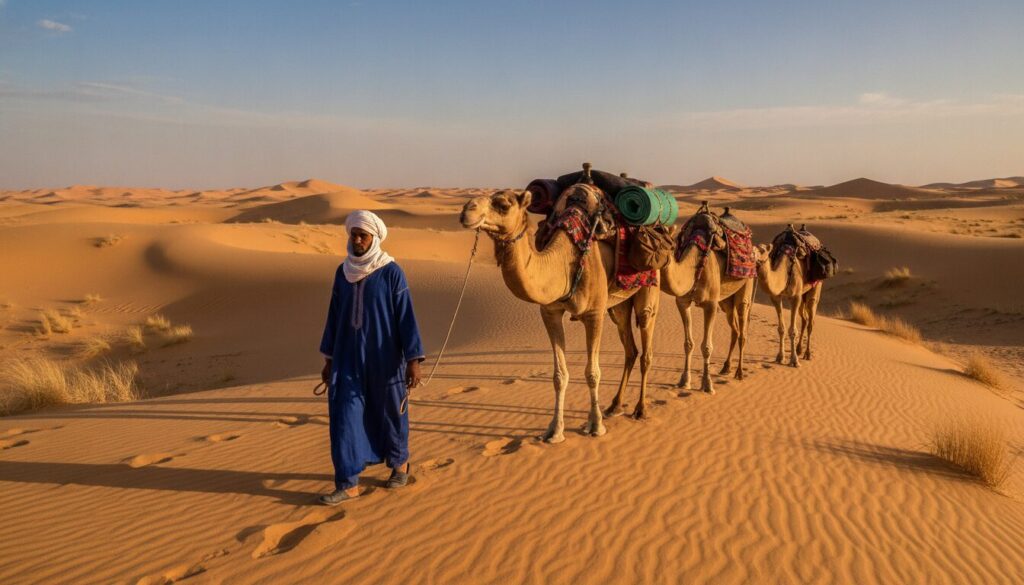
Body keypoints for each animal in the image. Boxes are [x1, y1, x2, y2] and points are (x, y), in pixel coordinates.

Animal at [459, 188, 660, 444]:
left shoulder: (594, 313)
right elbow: (559, 376)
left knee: (646, 348)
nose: (467, 211)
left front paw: (596, 426)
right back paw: (614, 406)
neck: (564, 262)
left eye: (503, 205)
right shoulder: (550, 312)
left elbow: (592, 372)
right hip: (618, 307)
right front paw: (555, 430)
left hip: (649, 289)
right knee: (630, 350)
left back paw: (640, 409)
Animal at [754, 236, 823, 367]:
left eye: (763, 250)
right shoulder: (776, 297)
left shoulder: (795, 297)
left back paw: (807, 354)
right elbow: (781, 329)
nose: (751, 255)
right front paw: (780, 357)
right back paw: (799, 349)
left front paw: (794, 360)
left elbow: (793, 330)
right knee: (804, 319)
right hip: (802, 295)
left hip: (815, 288)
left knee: (811, 321)